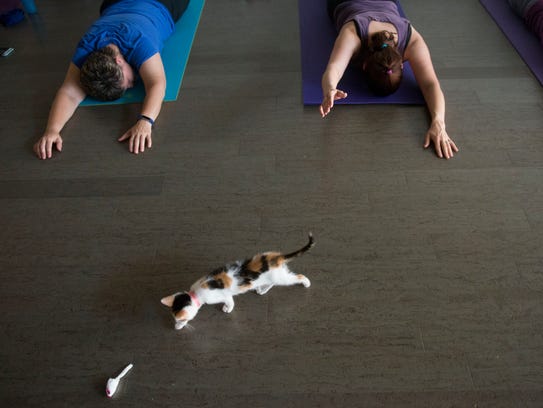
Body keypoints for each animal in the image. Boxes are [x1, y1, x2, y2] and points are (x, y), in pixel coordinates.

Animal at [162, 233, 314, 328]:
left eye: (182, 319)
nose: (176, 326)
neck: (196, 293)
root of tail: (277, 257)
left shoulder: (224, 295)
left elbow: (230, 302)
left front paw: (227, 309)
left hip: (283, 278)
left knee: (298, 277)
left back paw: (306, 283)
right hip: (274, 276)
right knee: (272, 283)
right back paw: (262, 289)